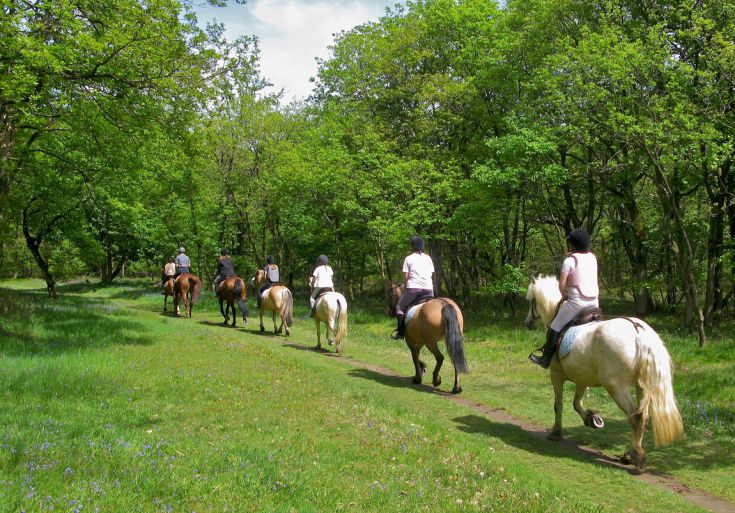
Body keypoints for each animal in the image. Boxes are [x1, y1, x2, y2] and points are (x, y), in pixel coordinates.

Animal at [524, 276, 684, 468]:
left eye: (531, 301)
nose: (527, 323)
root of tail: (639, 333)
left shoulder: (556, 376)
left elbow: (558, 405)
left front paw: (556, 432)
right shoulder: (582, 378)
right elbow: (576, 403)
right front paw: (592, 419)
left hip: (616, 387)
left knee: (635, 417)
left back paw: (634, 456)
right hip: (642, 387)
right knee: (643, 418)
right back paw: (630, 453)